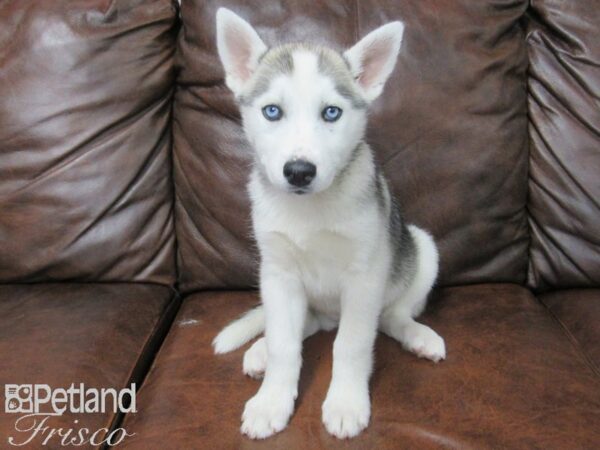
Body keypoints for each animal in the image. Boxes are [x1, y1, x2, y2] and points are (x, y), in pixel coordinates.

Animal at [211, 7, 446, 440]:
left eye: (331, 112)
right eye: (272, 111)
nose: (299, 172)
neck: (309, 211)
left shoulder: (364, 277)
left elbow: (350, 345)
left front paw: (346, 402)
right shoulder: (279, 274)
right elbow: (285, 344)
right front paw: (272, 400)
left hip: (422, 248)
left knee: (392, 316)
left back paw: (419, 336)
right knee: (299, 327)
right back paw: (260, 351)